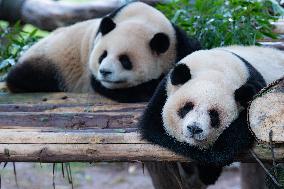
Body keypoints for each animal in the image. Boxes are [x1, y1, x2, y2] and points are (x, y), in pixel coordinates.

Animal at [4, 1, 200, 102]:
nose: (105, 72)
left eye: (125, 60)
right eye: (102, 55)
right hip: (52, 60)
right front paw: (155, 84)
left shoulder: (177, 42)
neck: (142, 19)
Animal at [139, 45, 284, 185]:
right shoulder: (164, 90)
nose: (194, 128)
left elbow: (223, 149)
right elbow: (155, 128)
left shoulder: (255, 93)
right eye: (187, 107)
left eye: (213, 115)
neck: (216, 68)